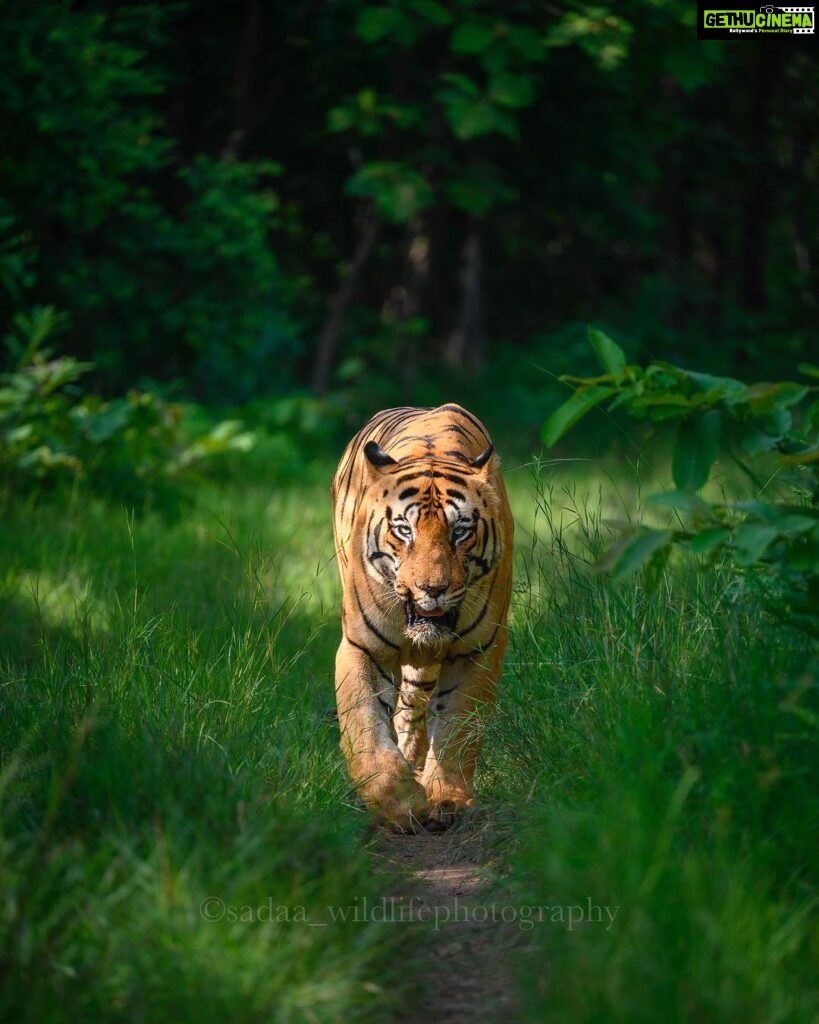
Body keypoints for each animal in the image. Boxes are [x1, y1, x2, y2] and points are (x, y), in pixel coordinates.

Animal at [327, 401, 511, 831]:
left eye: (460, 531)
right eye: (404, 530)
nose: (432, 588)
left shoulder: (478, 650)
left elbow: (459, 730)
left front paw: (447, 799)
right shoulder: (362, 647)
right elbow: (364, 725)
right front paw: (399, 805)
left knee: (412, 708)